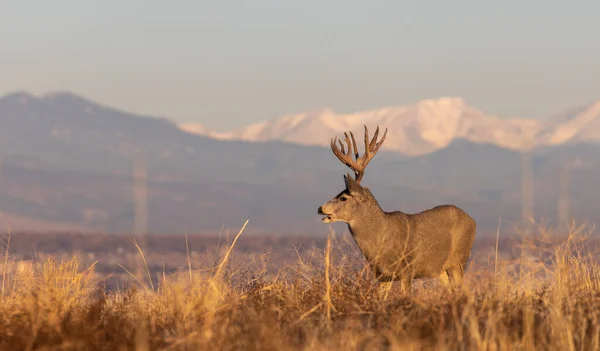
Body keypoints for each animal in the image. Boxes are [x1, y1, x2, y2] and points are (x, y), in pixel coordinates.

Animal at [316, 126, 476, 296]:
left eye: (343, 198)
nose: (320, 208)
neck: (381, 237)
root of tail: (473, 220)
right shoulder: (381, 275)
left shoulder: (408, 269)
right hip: (440, 270)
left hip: (459, 261)